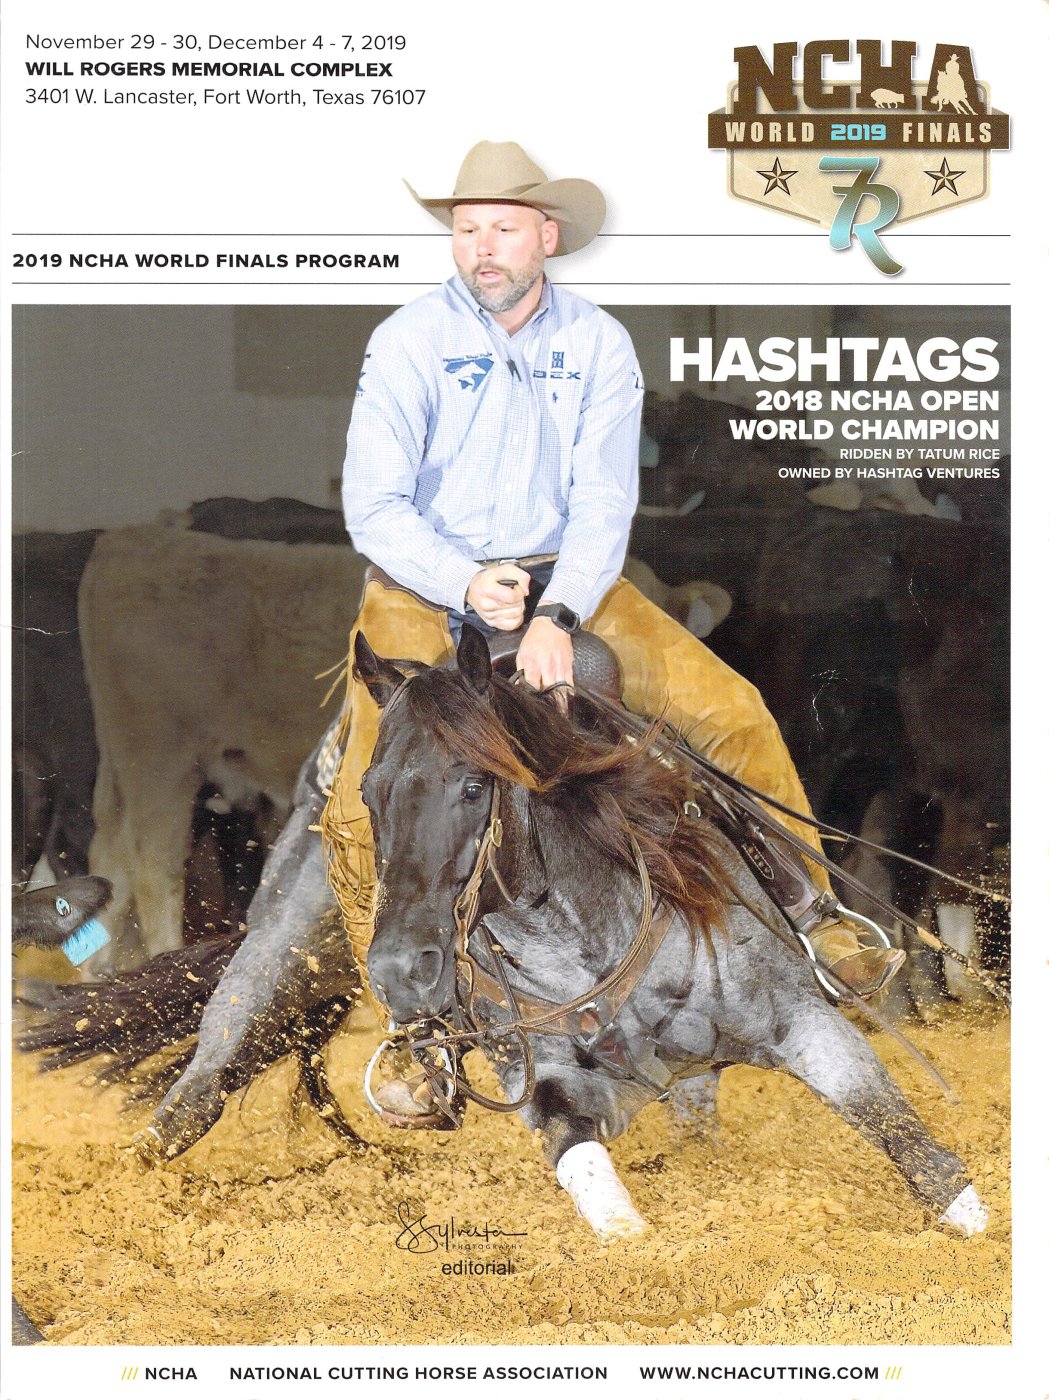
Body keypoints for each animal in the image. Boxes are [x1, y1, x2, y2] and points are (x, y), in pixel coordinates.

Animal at [354, 623, 988, 1240]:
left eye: (472, 786)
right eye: (367, 792)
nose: (399, 972)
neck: (578, 946)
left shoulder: (806, 1023)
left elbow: (910, 1144)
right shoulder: (552, 1079)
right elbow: (586, 1170)